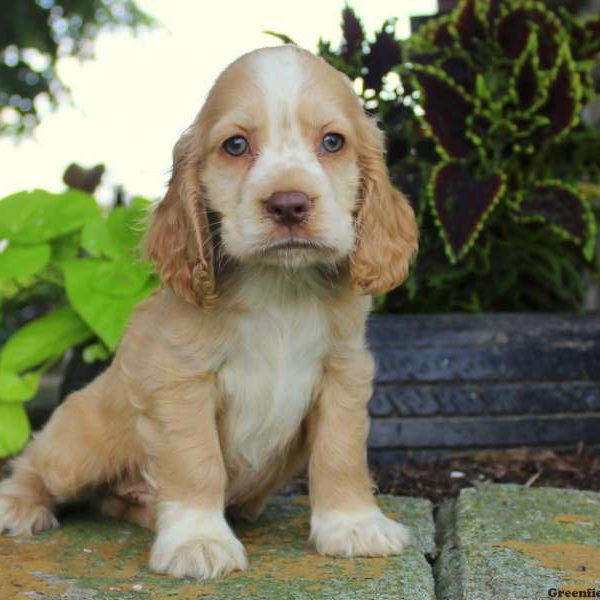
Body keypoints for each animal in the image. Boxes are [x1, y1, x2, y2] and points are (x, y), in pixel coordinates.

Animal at [0, 47, 418, 580]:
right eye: (235, 145)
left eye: (332, 142)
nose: (288, 204)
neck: (280, 286)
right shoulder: (181, 380)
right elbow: (196, 461)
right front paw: (197, 540)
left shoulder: (344, 372)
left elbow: (340, 453)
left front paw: (353, 524)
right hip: (76, 446)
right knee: (36, 461)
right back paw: (18, 505)